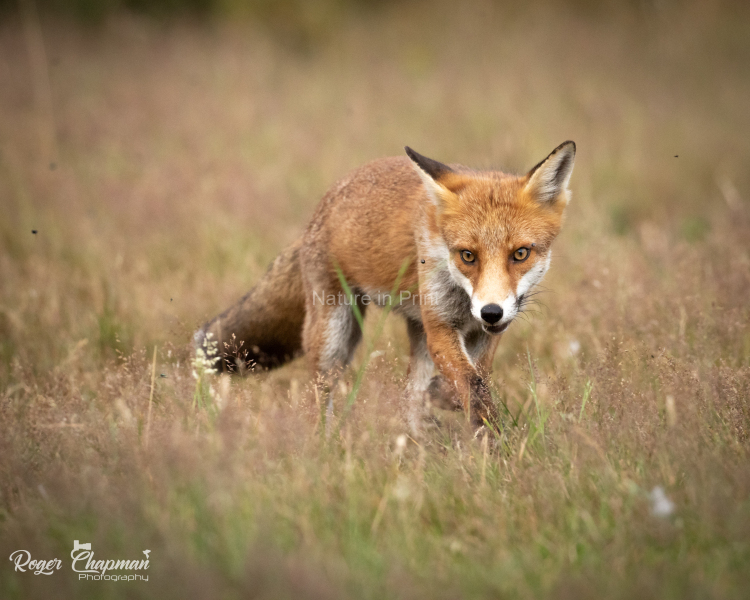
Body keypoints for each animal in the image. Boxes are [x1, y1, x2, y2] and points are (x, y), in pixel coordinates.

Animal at [195, 141, 576, 429]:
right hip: (335, 336)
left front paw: (445, 398)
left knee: (410, 395)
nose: (491, 311)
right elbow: (473, 386)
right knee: (318, 396)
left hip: (413, 333)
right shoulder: (440, 325)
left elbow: (474, 376)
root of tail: (324, 205)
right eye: (467, 255)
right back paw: (325, 447)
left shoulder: (483, 331)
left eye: (520, 253)